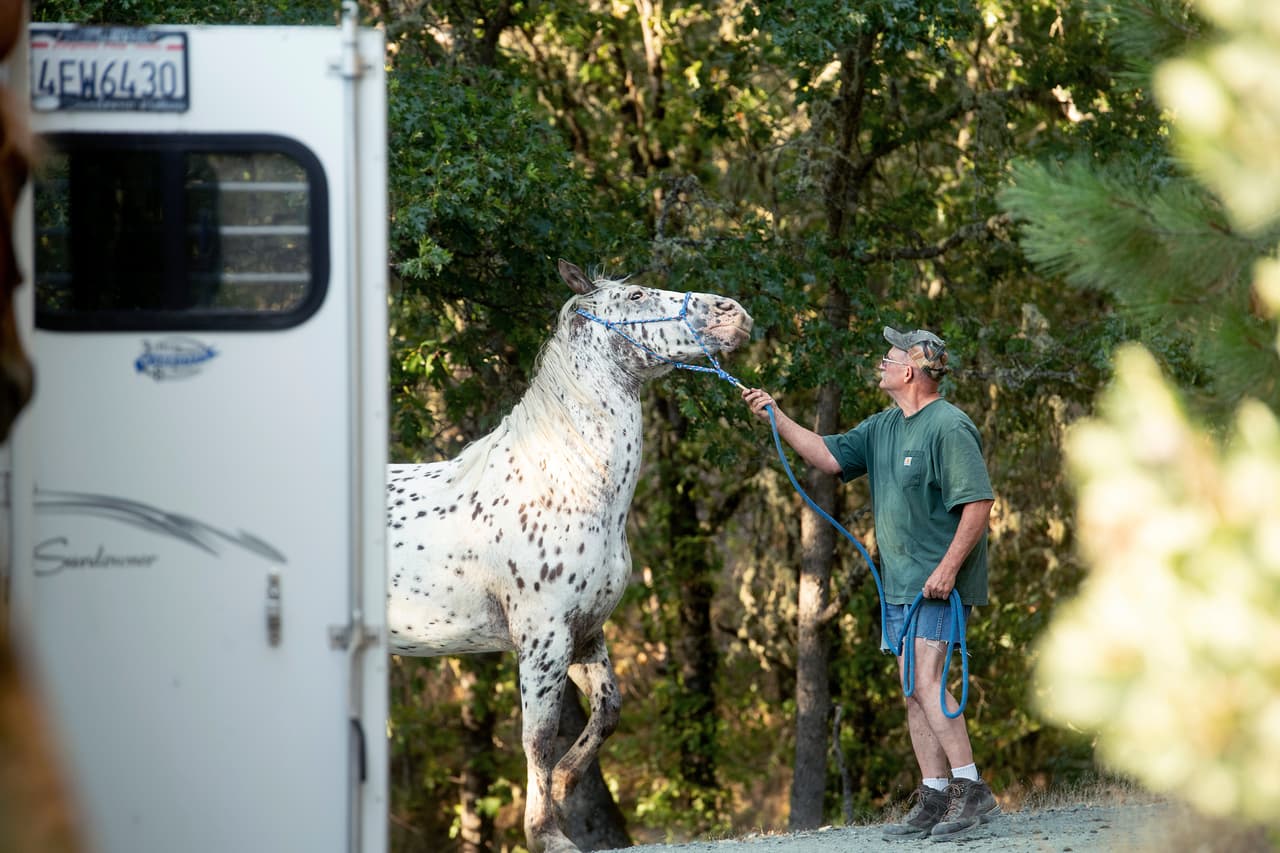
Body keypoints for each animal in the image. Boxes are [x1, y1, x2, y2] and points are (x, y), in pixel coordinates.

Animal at [387, 259, 752, 853]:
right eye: (636, 295)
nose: (733, 313)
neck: (564, 483)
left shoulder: (585, 634)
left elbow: (608, 711)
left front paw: (563, 783)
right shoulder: (543, 639)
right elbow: (537, 737)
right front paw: (547, 833)